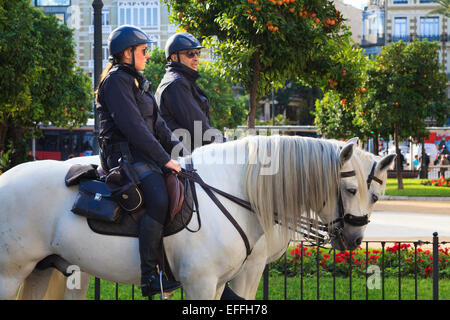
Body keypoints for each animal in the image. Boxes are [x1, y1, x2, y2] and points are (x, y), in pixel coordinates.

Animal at [7, 136, 358, 300]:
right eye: (352, 189)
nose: (354, 239)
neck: (234, 191)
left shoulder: (219, 282)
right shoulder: (200, 281)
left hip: (42, 269)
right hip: (9, 274)